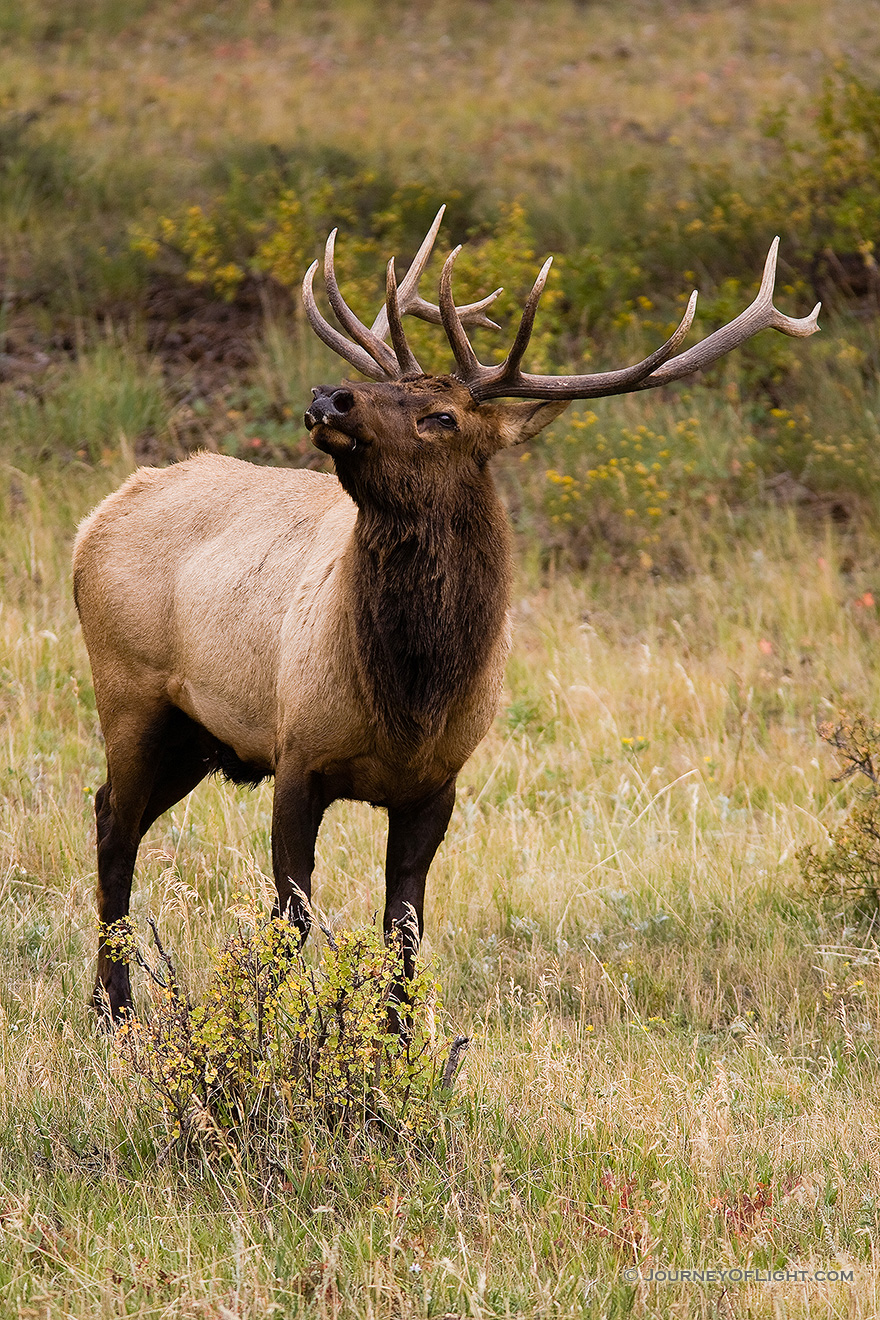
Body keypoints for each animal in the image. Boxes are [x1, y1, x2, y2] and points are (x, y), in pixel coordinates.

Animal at [72, 208, 823, 1019]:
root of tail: (96, 517)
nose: (332, 396)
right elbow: (291, 919)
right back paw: (114, 1007)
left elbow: (405, 928)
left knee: (115, 811)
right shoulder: (297, 751)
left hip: (197, 736)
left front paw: (398, 1041)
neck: (410, 700)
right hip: (131, 691)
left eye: (442, 416)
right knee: (114, 823)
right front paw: (265, 1024)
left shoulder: (437, 783)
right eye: (384, 386)